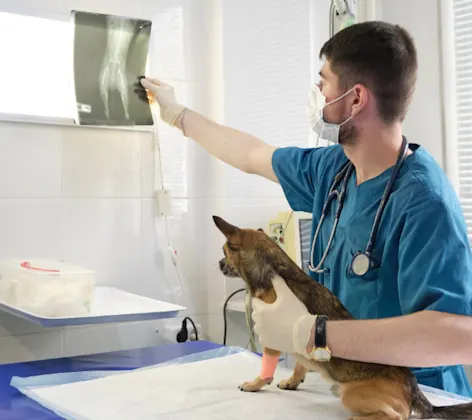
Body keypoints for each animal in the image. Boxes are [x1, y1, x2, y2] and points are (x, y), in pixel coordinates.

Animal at [214, 217, 472, 420]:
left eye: (224, 251)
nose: (218, 264)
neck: (274, 269)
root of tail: (414, 388)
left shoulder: (272, 339)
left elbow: (267, 368)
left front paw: (255, 384)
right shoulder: (299, 342)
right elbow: (299, 364)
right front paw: (292, 381)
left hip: (350, 394)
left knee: (397, 416)